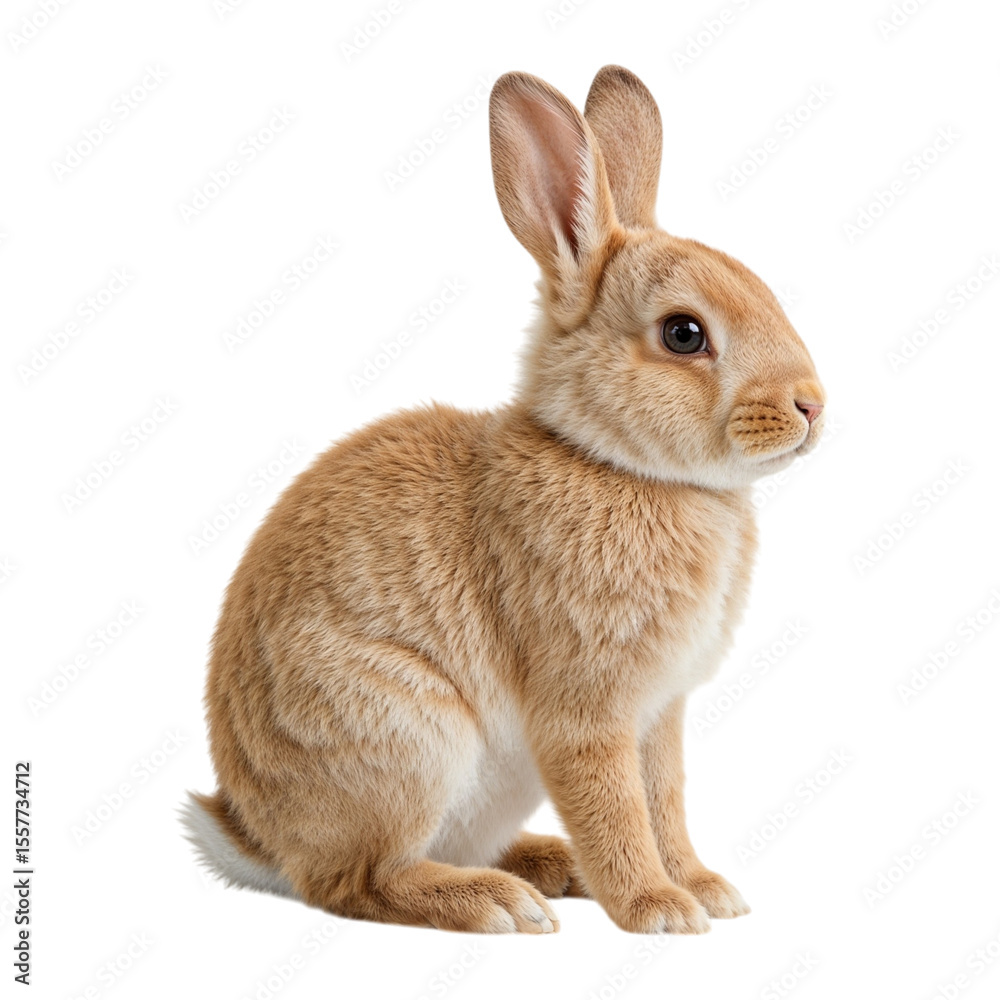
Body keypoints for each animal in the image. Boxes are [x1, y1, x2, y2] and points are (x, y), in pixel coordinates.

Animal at [182, 65, 825, 935]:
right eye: (684, 334)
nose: (812, 405)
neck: (615, 463)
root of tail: (254, 834)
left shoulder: (660, 714)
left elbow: (665, 801)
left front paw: (705, 888)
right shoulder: (586, 709)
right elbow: (615, 807)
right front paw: (659, 908)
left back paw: (547, 868)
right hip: (413, 735)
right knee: (355, 881)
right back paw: (498, 903)